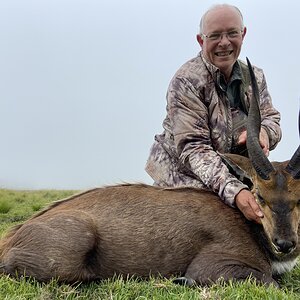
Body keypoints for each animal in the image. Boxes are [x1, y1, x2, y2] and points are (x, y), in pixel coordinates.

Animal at [0, 58, 300, 286]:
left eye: (298, 198)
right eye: (259, 196)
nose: (285, 243)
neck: (250, 226)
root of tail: (11, 239)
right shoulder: (215, 265)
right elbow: (271, 283)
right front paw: (182, 280)